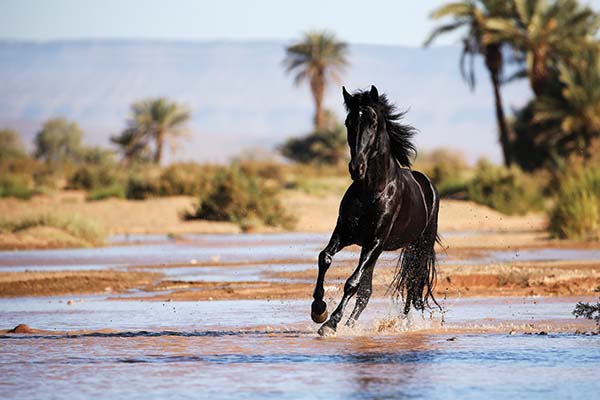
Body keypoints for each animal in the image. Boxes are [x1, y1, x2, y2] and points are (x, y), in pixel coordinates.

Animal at [312, 86, 438, 336]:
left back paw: (402, 324)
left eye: (372, 122)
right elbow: (325, 258)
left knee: (411, 285)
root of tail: (427, 184)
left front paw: (330, 324)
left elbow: (352, 283)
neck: (372, 190)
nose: (356, 168)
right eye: (348, 121)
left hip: (418, 246)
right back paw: (351, 324)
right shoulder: (345, 234)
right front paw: (318, 309)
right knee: (368, 292)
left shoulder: (375, 242)